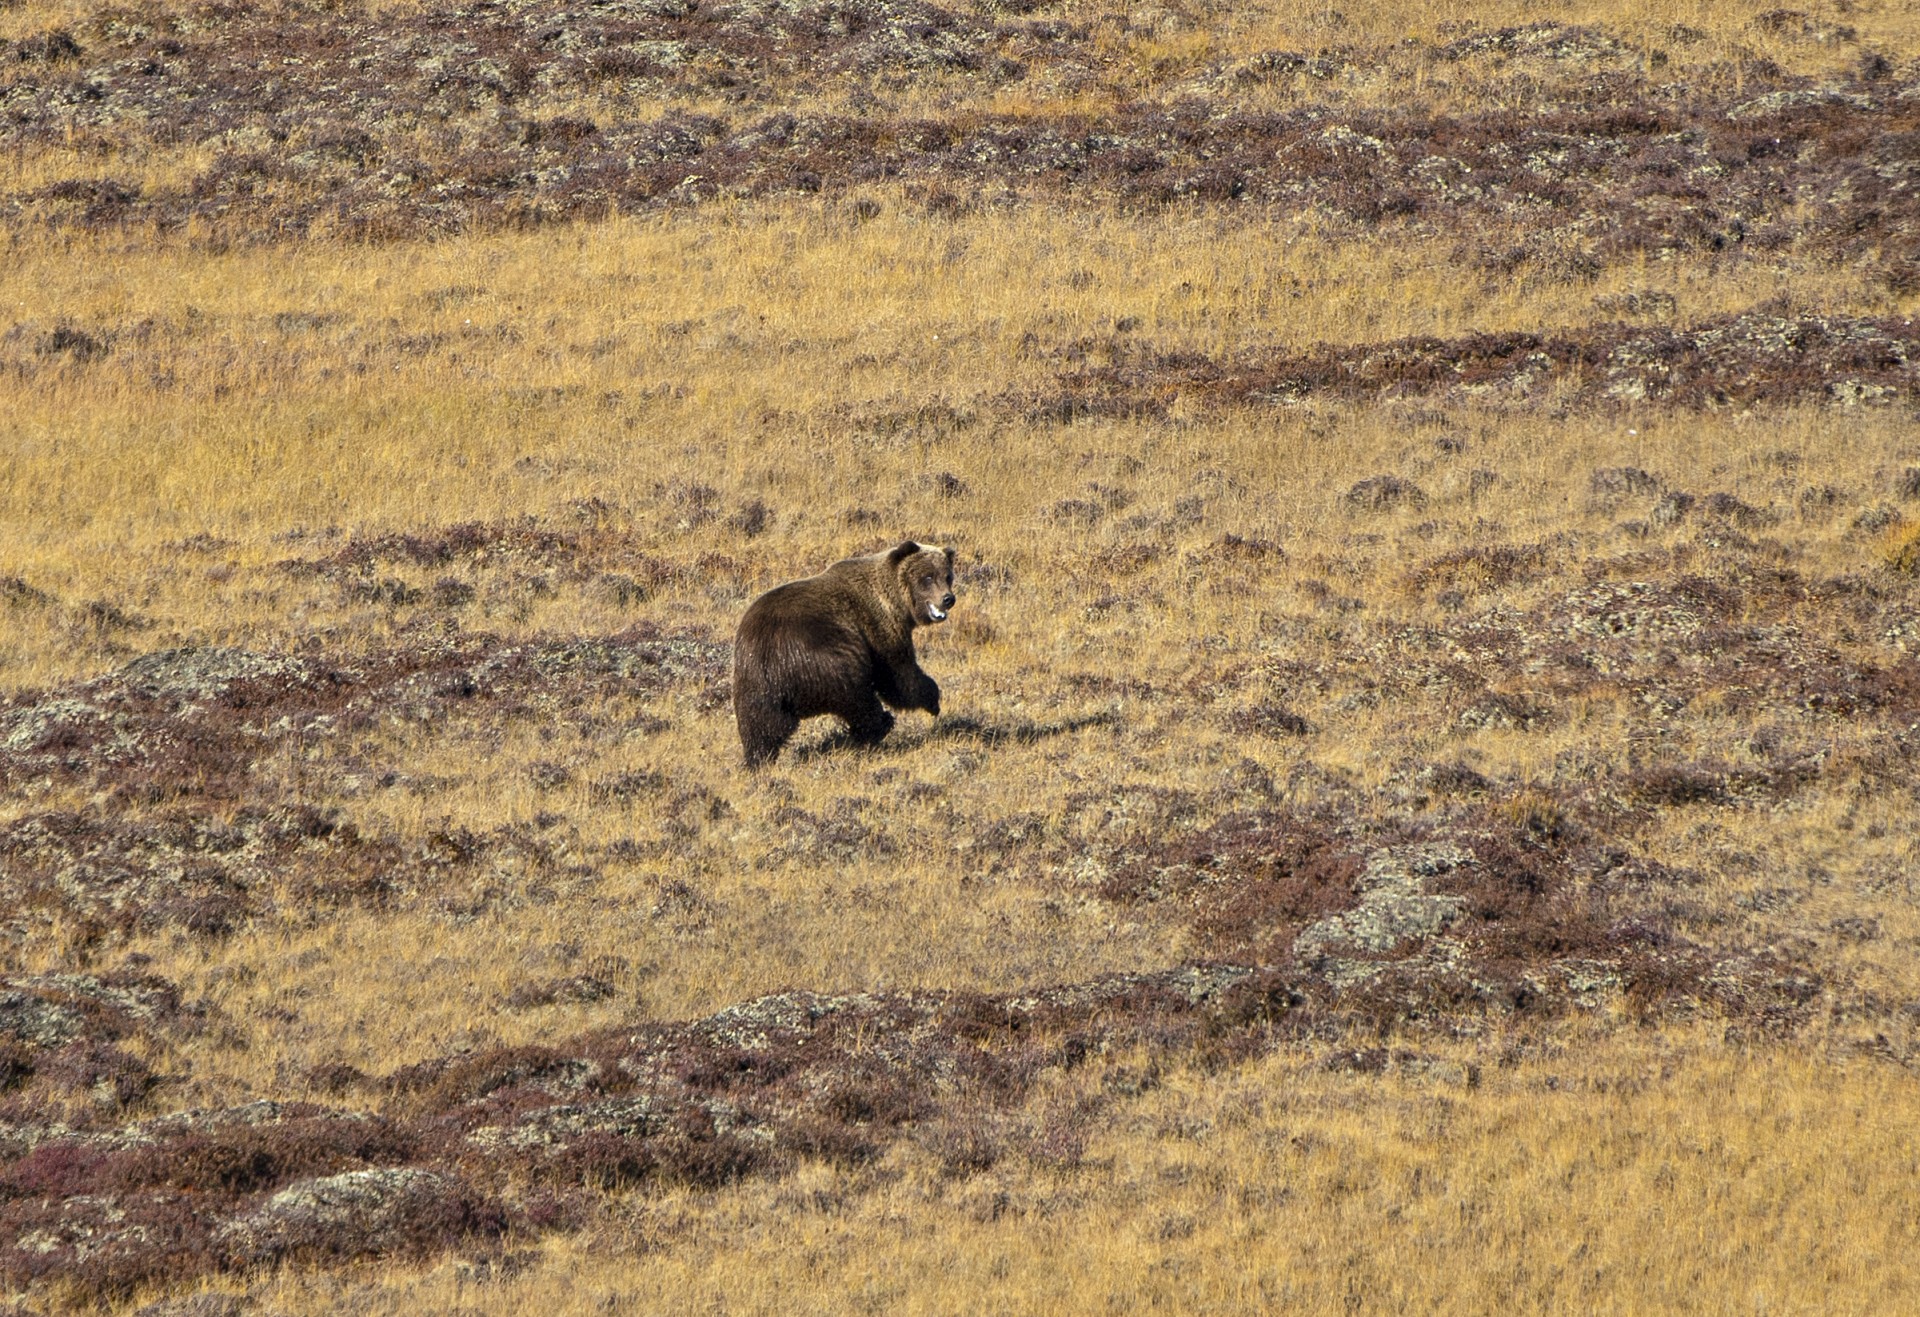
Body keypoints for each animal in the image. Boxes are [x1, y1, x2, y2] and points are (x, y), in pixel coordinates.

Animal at [733, 541, 957, 767]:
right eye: (928, 577)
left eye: (948, 576)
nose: (948, 599)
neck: (894, 602)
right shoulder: (879, 629)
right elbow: (898, 675)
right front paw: (933, 699)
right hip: (825, 658)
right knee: (857, 697)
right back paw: (880, 725)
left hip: (755, 680)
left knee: (762, 724)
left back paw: (758, 758)